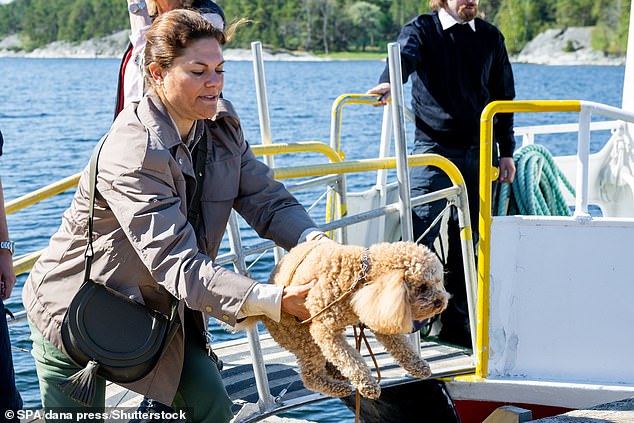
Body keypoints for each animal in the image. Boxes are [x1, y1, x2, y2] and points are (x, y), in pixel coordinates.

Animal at [251, 242, 444, 400]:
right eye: (422, 287)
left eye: (438, 281)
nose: (440, 302)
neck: (359, 276)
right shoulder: (325, 329)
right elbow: (349, 358)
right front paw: (367, 385)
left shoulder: (379, 311)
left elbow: (400, 346)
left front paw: (418, 366)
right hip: (301, 337)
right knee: (310, 375)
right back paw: (338, 387)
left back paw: (335, 372)